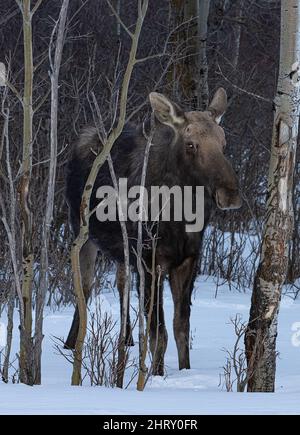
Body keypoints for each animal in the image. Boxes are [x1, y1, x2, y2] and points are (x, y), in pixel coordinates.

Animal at [65, 87, 241, 374]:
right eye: (190, 144)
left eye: (224, 142)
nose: (230, 194)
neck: (180, 216)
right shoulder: (151, 261)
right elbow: (158, 332)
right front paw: (157, 374)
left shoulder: (188, 260)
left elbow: (181, 327)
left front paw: (185, 370)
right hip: (81, 230)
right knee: (85, 285)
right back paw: (71, 343)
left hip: (122, 250)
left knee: (121, 281)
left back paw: (125, 338)